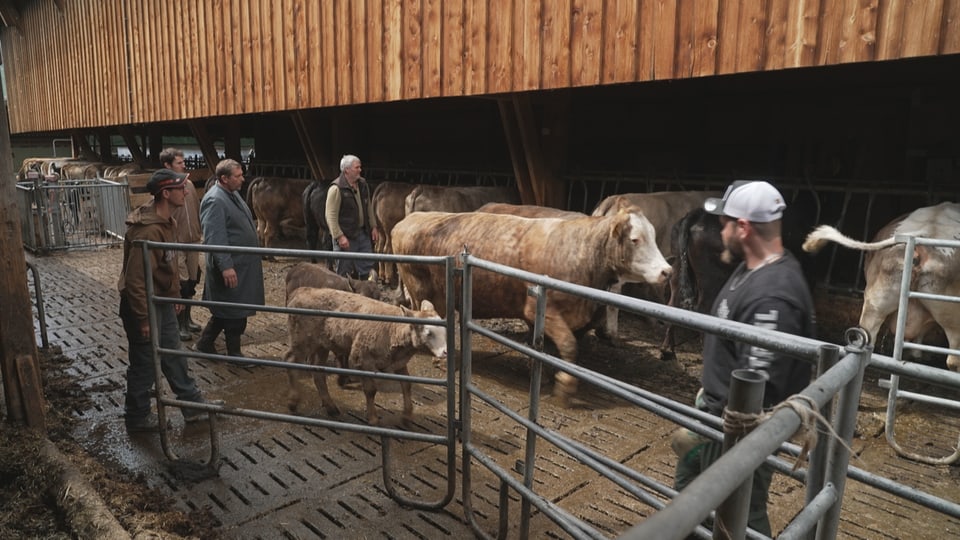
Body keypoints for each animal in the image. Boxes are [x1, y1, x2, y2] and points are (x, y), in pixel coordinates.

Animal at [284, 286, 450, 426]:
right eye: (428, 333)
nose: (445, 352)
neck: (393, 329)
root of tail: (300, 291)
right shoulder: (362, 359)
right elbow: (371, 390)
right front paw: (373, 418)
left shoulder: (399, 362)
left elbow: (407, 385)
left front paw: (407, 416)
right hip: (302, 340)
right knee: (290, 361)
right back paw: (293, 402)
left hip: (321, 345)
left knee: (318, 372)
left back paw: (331, 407)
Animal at [394, 209, 672, 402]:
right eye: (635, 239)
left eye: (654, 236)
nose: (667, 271)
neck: (583, 253)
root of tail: (409, 219)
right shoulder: (545, 311)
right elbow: (569, 346)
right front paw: (564, 385)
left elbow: (552, 348)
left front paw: (545, 374)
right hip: (423, 292)